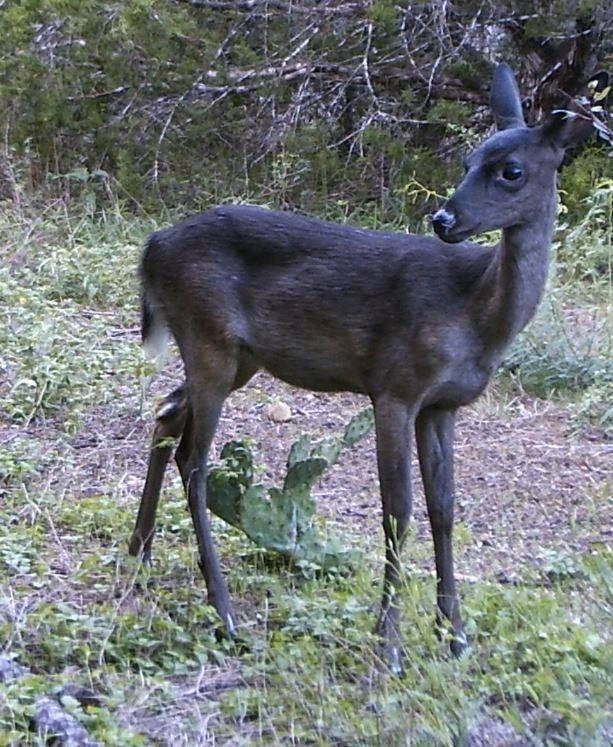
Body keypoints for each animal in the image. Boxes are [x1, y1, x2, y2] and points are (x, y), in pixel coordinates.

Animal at [126, 64, 600, 672]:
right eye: (468, 160)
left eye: (510, 170)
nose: (444, 218)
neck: (474, 313)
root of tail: (152, 246)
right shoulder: (395, 387)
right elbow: (398, 511)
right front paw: (390, 644)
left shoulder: (443, 405)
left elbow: (444, 509)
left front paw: (455, 636)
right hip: (209, 337)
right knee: (195, 458)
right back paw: (225, 611)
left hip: (238, 357)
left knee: (166, 413)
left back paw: (140, 553)